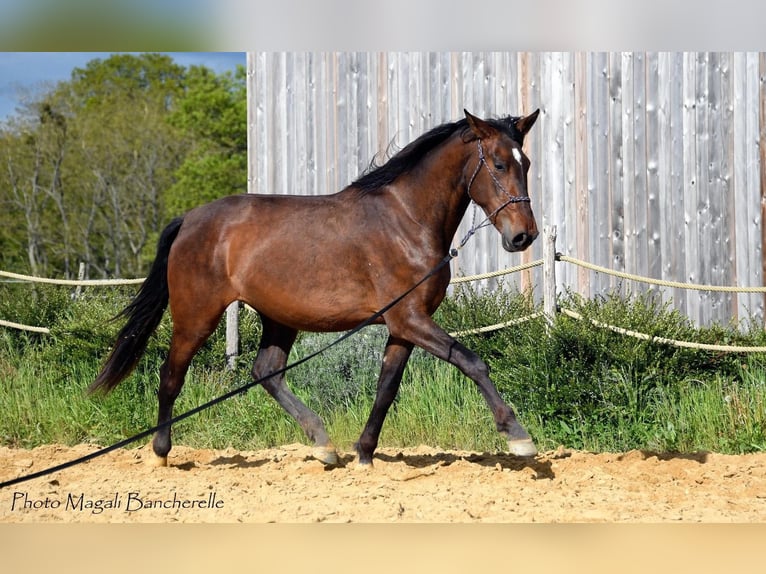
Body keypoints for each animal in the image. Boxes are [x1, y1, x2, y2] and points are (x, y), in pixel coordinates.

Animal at [90, 110, 544, 470]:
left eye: (526, 162)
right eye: (499, 164)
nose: (524, 236)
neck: (407, 220)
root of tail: (189, 219)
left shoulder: (403, 326)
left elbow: (386, 388)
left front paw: (364, 453)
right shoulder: (410, 319)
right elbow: (472, 362)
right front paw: (518, 436)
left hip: (278, 318)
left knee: (267, 372)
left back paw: (323, 446)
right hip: (196, 316)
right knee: (171, 375)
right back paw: (160, 453)